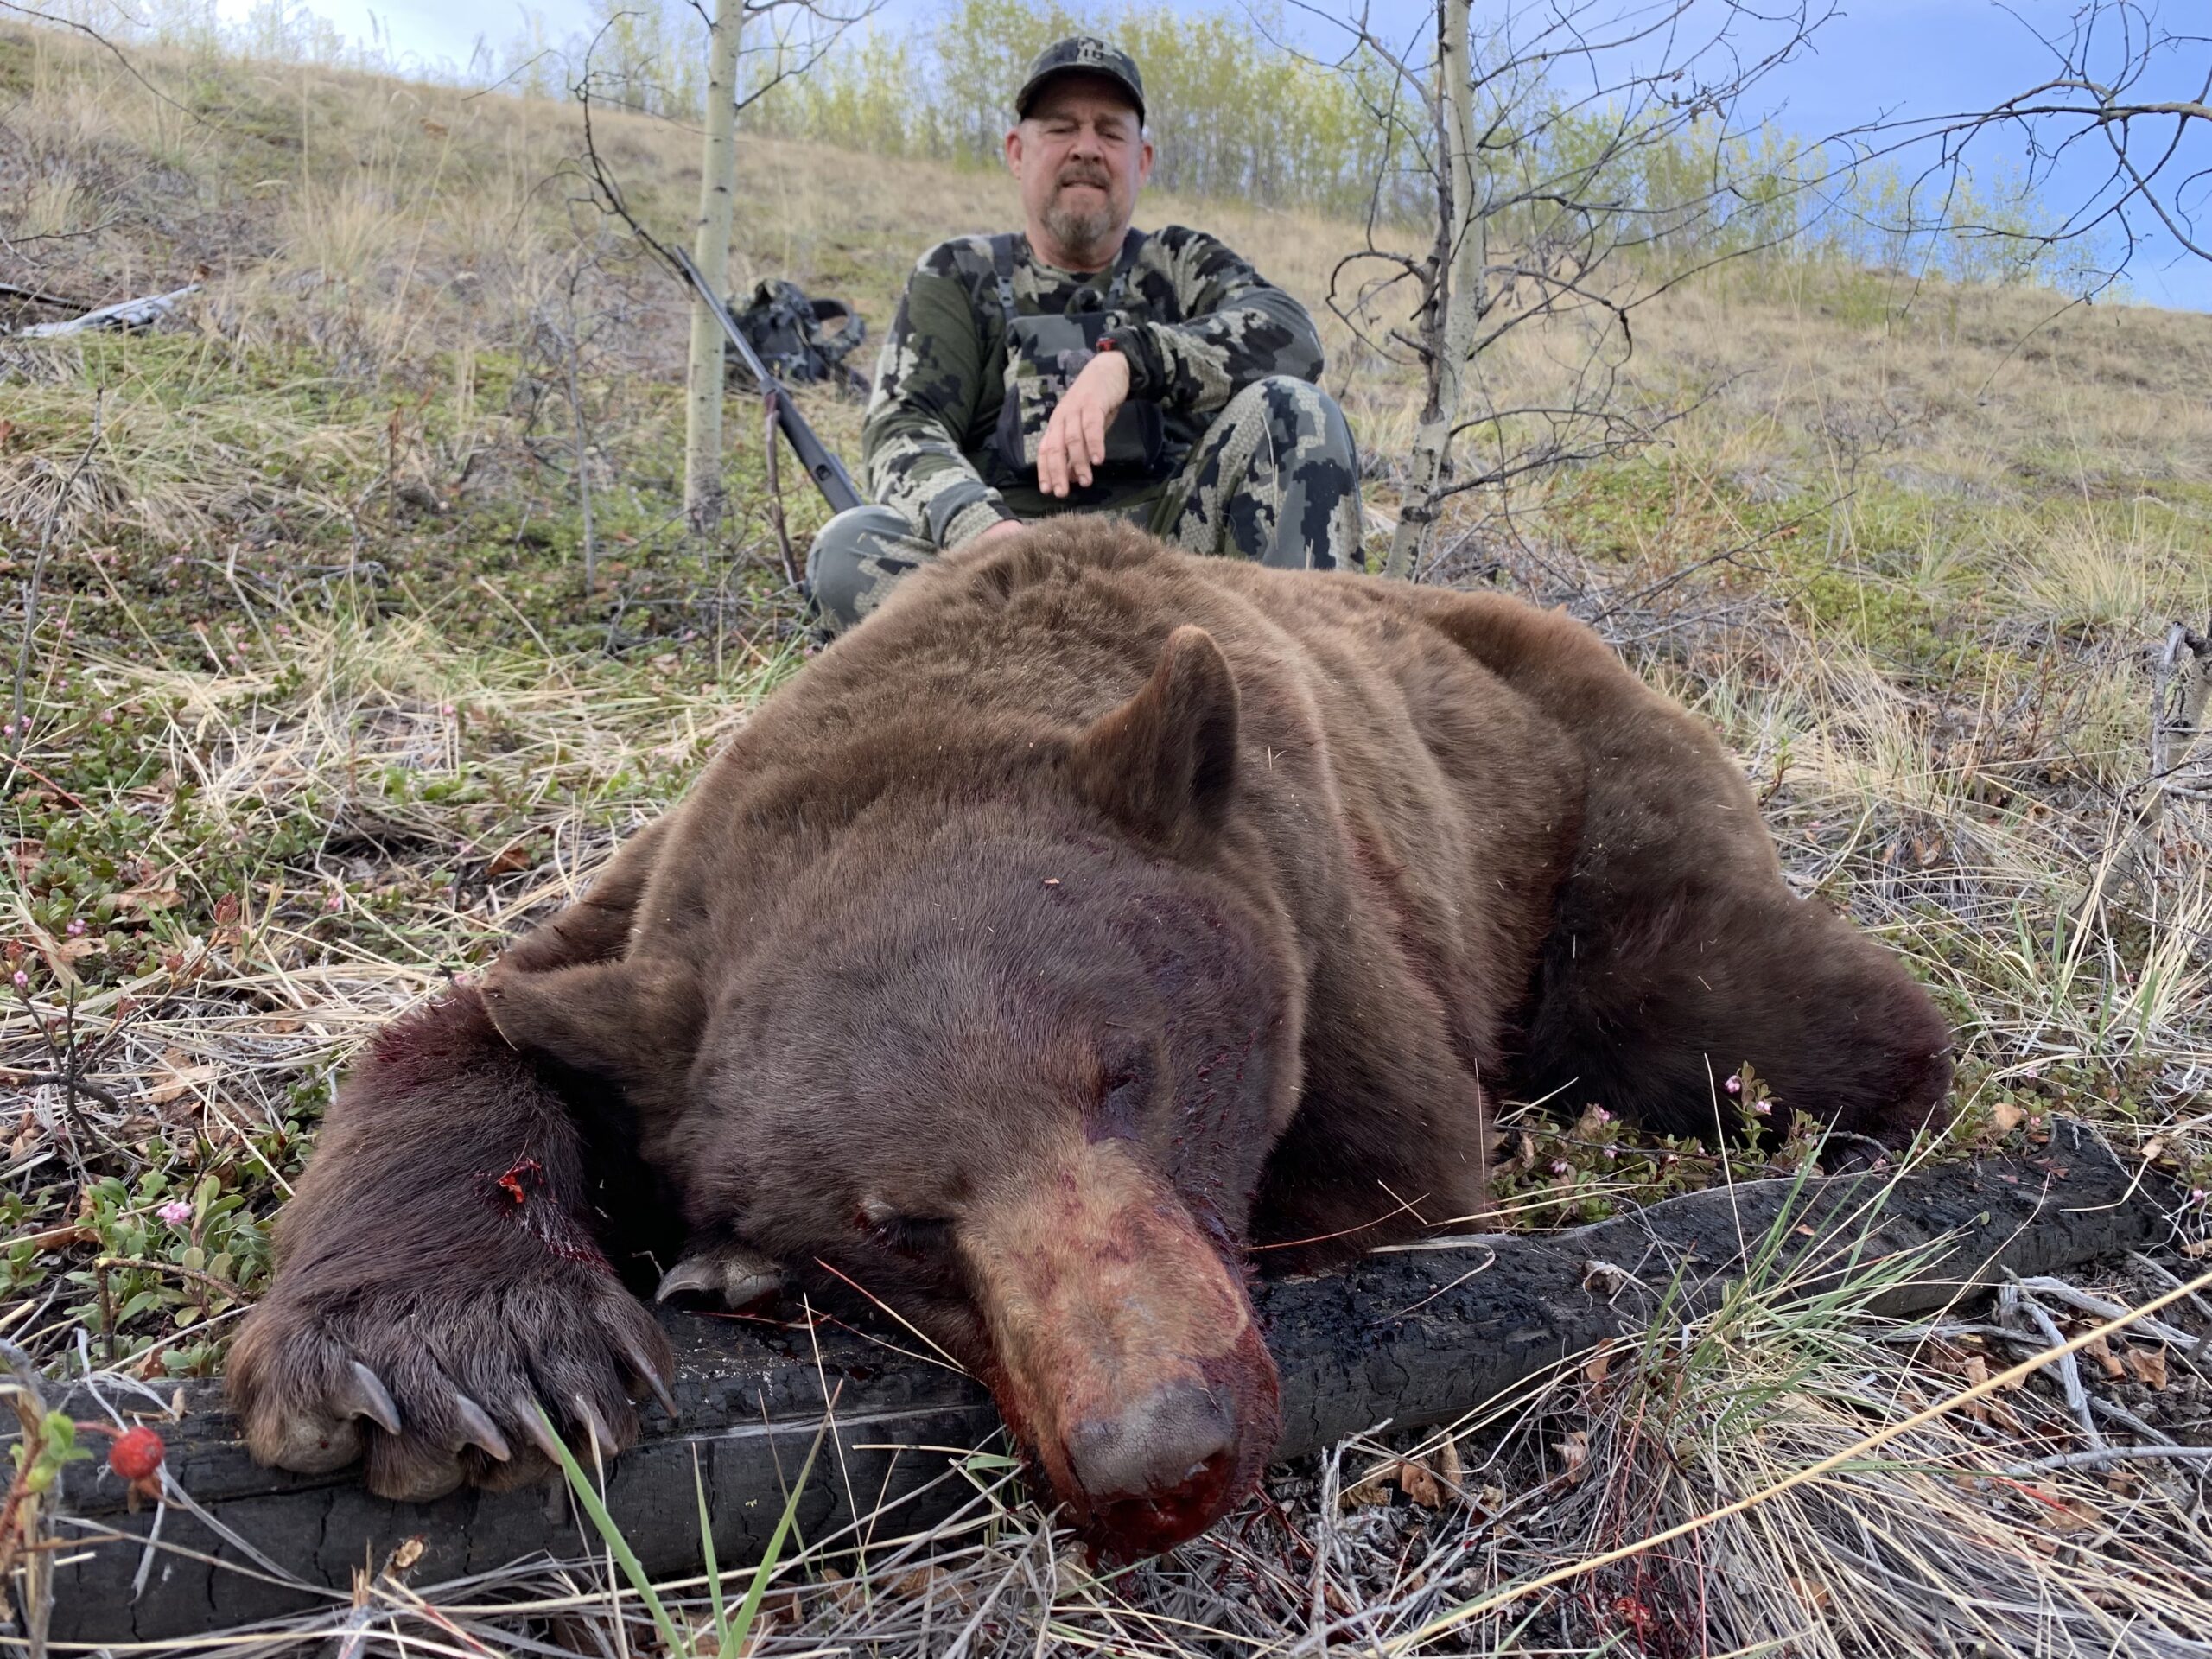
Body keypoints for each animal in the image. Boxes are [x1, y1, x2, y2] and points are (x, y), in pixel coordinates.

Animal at [226, 520, 1952, 1558]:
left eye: (1129, 1077)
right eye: (899, 1223)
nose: (1161, 1454)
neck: (942, 718)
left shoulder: (1339, 924)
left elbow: (1391, 1189)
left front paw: (725, 1273)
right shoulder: (664, 920)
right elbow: (476, 1021)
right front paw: (454, 1360)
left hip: (1587, 822)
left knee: (1741, 999)